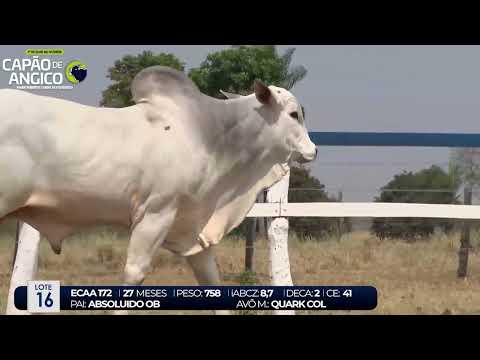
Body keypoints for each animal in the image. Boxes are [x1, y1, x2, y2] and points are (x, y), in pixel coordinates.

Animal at [1, 66, 316, 314]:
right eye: (293, 114)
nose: (313, 150)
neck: (211, 136)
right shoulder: (155, 213)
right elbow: (134, 273)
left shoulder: (191, 226)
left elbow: (211, 281)